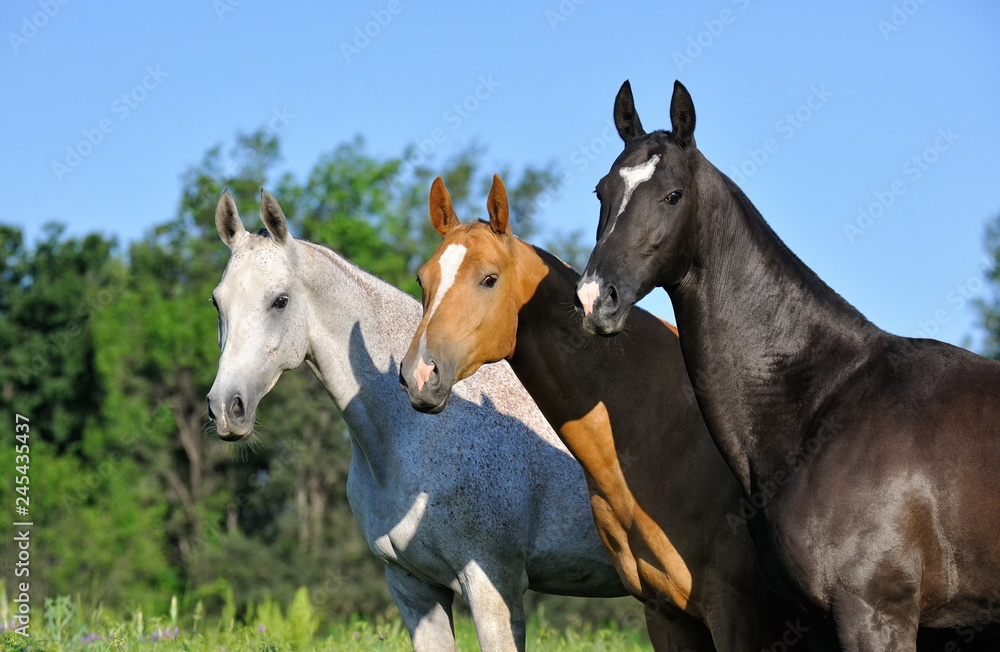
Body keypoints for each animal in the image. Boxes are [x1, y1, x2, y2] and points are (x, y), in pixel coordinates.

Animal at [205, 189, 627, 652]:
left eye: (280, 300)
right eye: (217, 301)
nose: (226, 407)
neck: (419, 436)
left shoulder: (494, 588)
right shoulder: (413, 587)